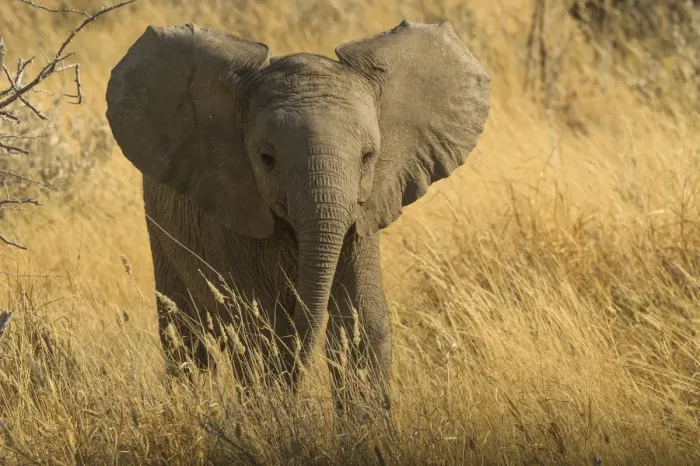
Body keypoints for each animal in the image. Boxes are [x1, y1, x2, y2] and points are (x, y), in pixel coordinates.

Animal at [105, 19, 490, 412]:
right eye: (266, 159)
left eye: (368, 156)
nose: (299, 390)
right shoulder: (230, 211)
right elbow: (261, 330)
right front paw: (275, 415)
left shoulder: (363, 214)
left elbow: (358, 323)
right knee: (186, 334)